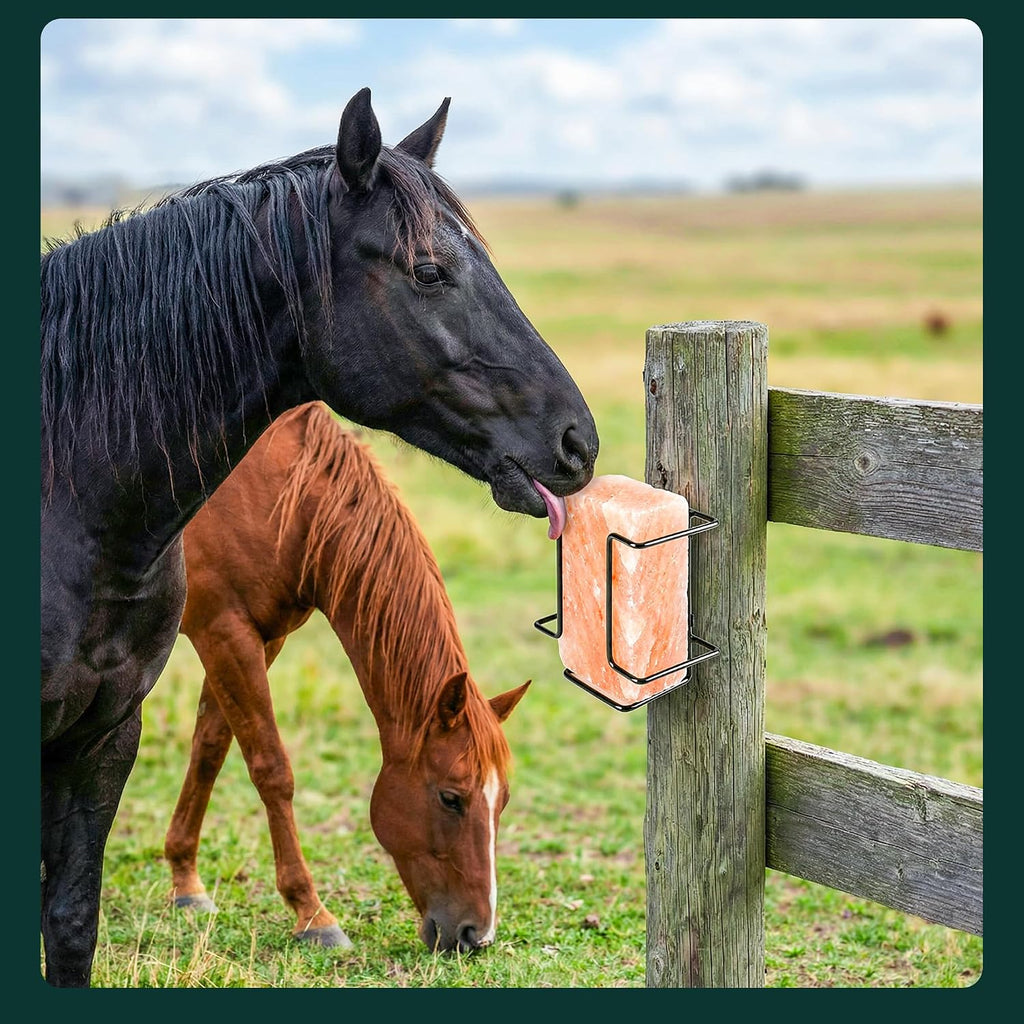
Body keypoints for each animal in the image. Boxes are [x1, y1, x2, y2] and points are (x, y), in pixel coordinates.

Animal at [165, 402, 529, 953]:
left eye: (502, 800)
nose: (476, 936)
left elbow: (209, 748)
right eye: (451, 798)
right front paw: (312, 913)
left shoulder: (260, 638)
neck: (281, 498)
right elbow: (271, 768)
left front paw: (186, 881)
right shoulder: (223, 631)